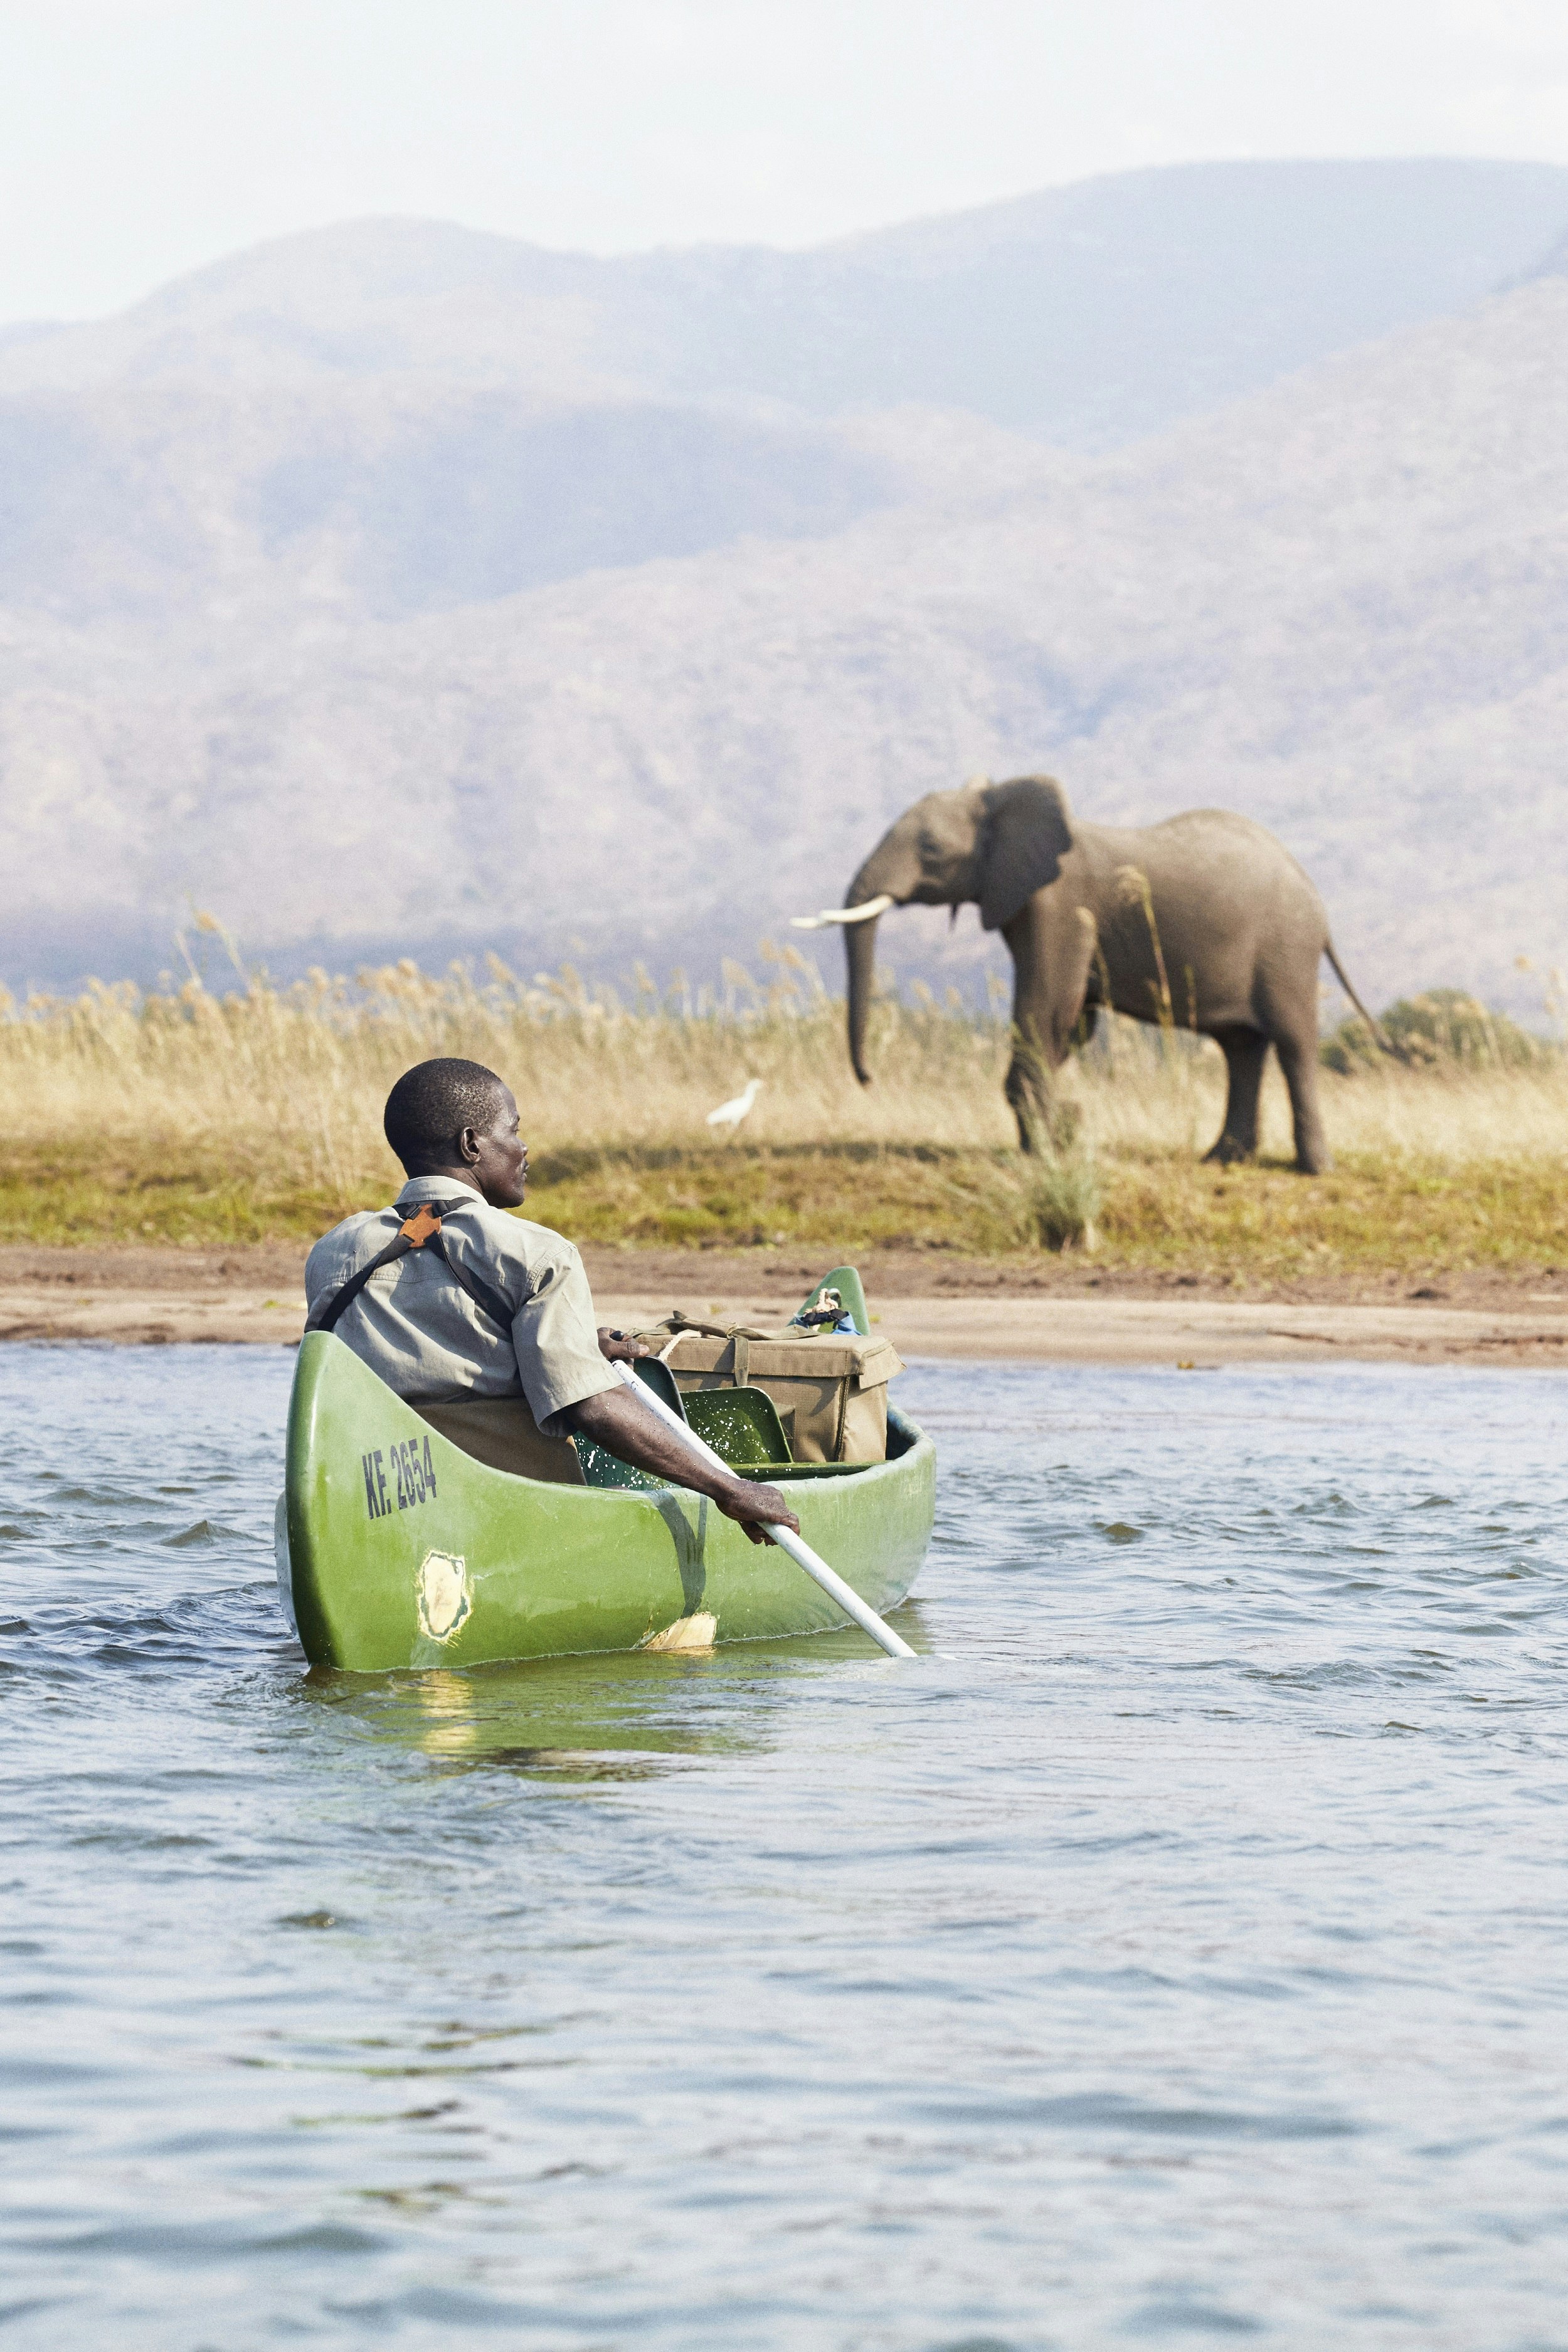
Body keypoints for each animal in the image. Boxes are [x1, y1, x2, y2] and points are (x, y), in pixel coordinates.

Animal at [818, 776, 1382, 1171]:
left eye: (931, 850)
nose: (868, 1079)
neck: (1003, 800)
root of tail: (1318, 904)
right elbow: (1068, 1023)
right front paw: (1050, 1141)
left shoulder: (1062, 908)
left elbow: (1047, 1008)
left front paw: (1040, 1153)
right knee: (1242, 1048)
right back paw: (1222, 1161)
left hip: (1287, 949)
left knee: (1293, 1043)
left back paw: (1315, 1170)